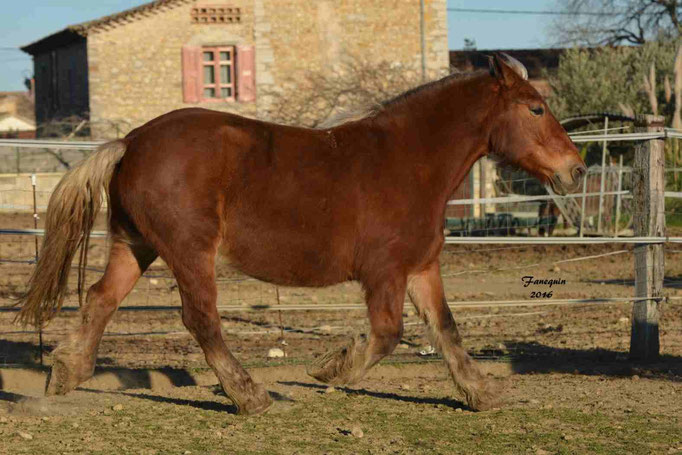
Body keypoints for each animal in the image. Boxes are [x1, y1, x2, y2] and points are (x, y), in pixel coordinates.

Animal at [15, 54, 584, 416]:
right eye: (536, 108)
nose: (575, 170)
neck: (409, 162)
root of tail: (131, 141)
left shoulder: (422, 267)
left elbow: (446, 330)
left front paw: (481, 394)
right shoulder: (385, 272)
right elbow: (386, 334)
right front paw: (330, 369)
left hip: (137, 245)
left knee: (99, 299)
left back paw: (66, 372)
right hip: (188, 252)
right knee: (200, 320)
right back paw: (250, 397)